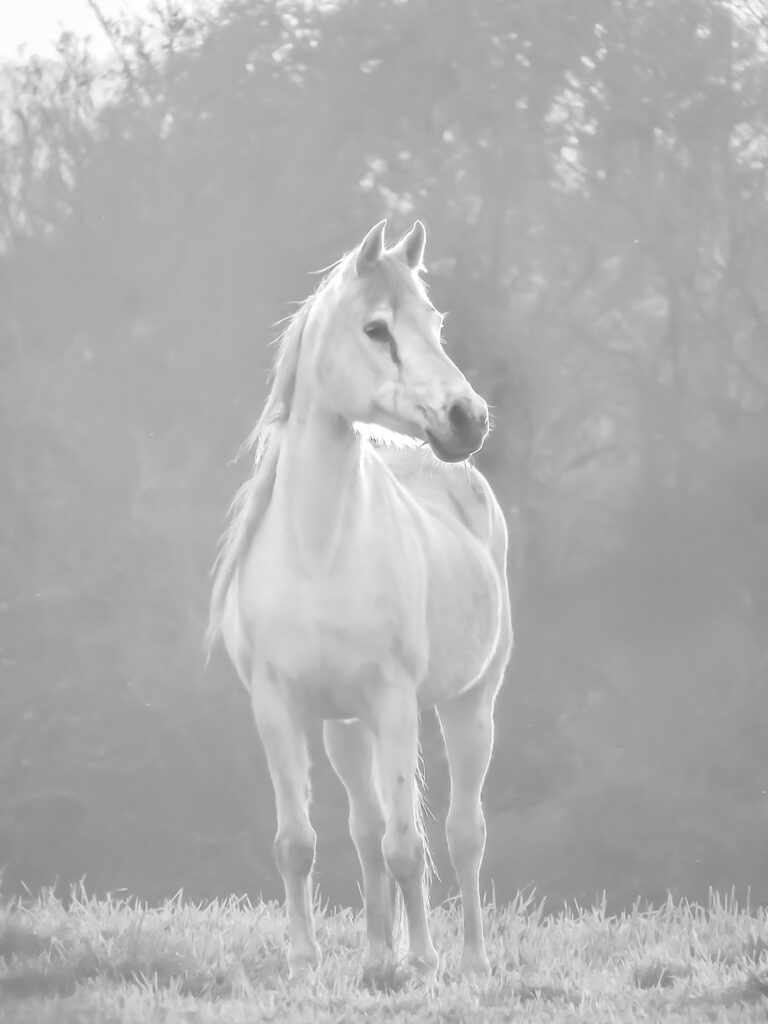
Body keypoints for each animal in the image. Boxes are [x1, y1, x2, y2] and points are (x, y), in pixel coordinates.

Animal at [206, 219, 513, 983]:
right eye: (376, 329)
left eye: (433, 322)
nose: (467, 420)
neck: (319, 550)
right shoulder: (279, 707)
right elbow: (300, 841)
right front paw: (304, 961)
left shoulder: (396, 703)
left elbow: (409, 844)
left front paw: (424, 963)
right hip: (346, 728)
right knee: (367, 829)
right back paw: (377, 957)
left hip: (470, 704)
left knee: (462, 832)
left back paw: (466, 960)